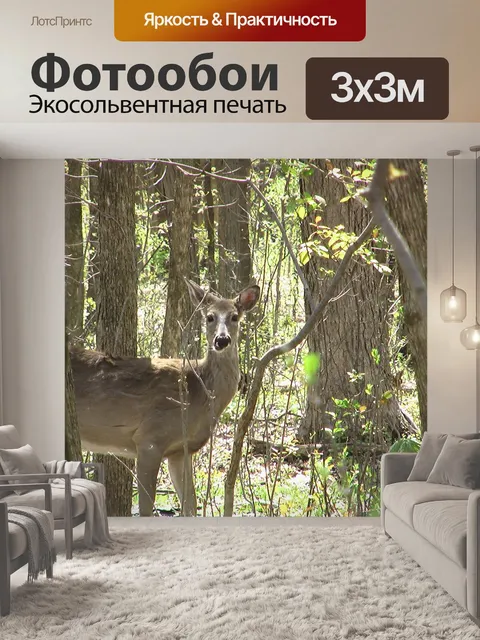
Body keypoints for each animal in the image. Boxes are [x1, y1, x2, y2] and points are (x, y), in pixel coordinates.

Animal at [70, 279, 260, 517]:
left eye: (235, 316)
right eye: (210, 316)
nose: (222, 340)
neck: (196, 395)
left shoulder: (180, 451)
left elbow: (190, 506)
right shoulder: (150, 438)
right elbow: (146, 509)